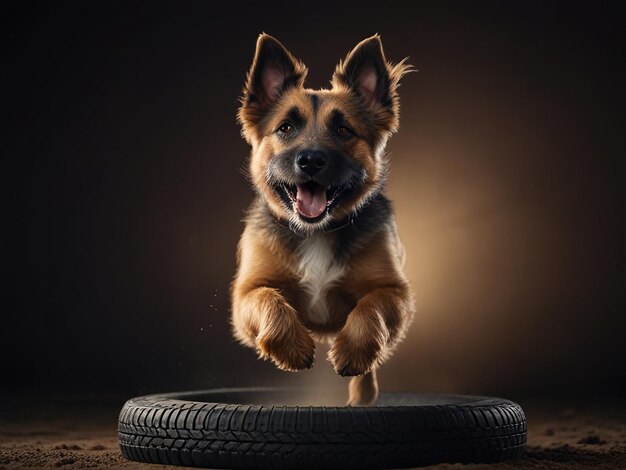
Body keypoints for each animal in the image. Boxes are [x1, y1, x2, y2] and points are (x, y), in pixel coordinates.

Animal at [229, 33, 414, 406]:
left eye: (343, 130)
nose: (311, 160)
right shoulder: (245, 294)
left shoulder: (395, 293)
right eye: (285, 128)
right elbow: (268, 300)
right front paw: (292, 349)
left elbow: (371, 309)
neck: (316, 231)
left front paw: (352, 353)